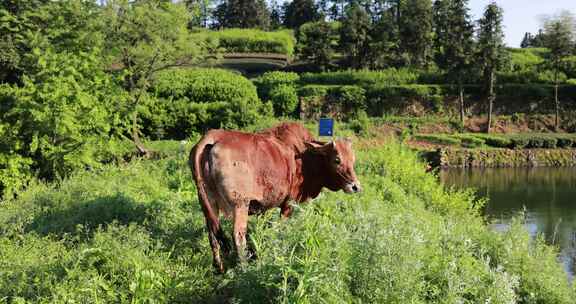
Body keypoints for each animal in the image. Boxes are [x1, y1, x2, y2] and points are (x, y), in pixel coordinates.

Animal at [189, 122, 360, 272]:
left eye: (353, 160)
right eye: (337, 160)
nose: (356, 186)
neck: (305, 158)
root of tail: (212, 137)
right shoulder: (288, 204)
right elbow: (280, 229)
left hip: (209, 204)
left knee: (212, 234)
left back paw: (219, 267)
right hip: (240, 205)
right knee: (238, 236)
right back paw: (244, 268)